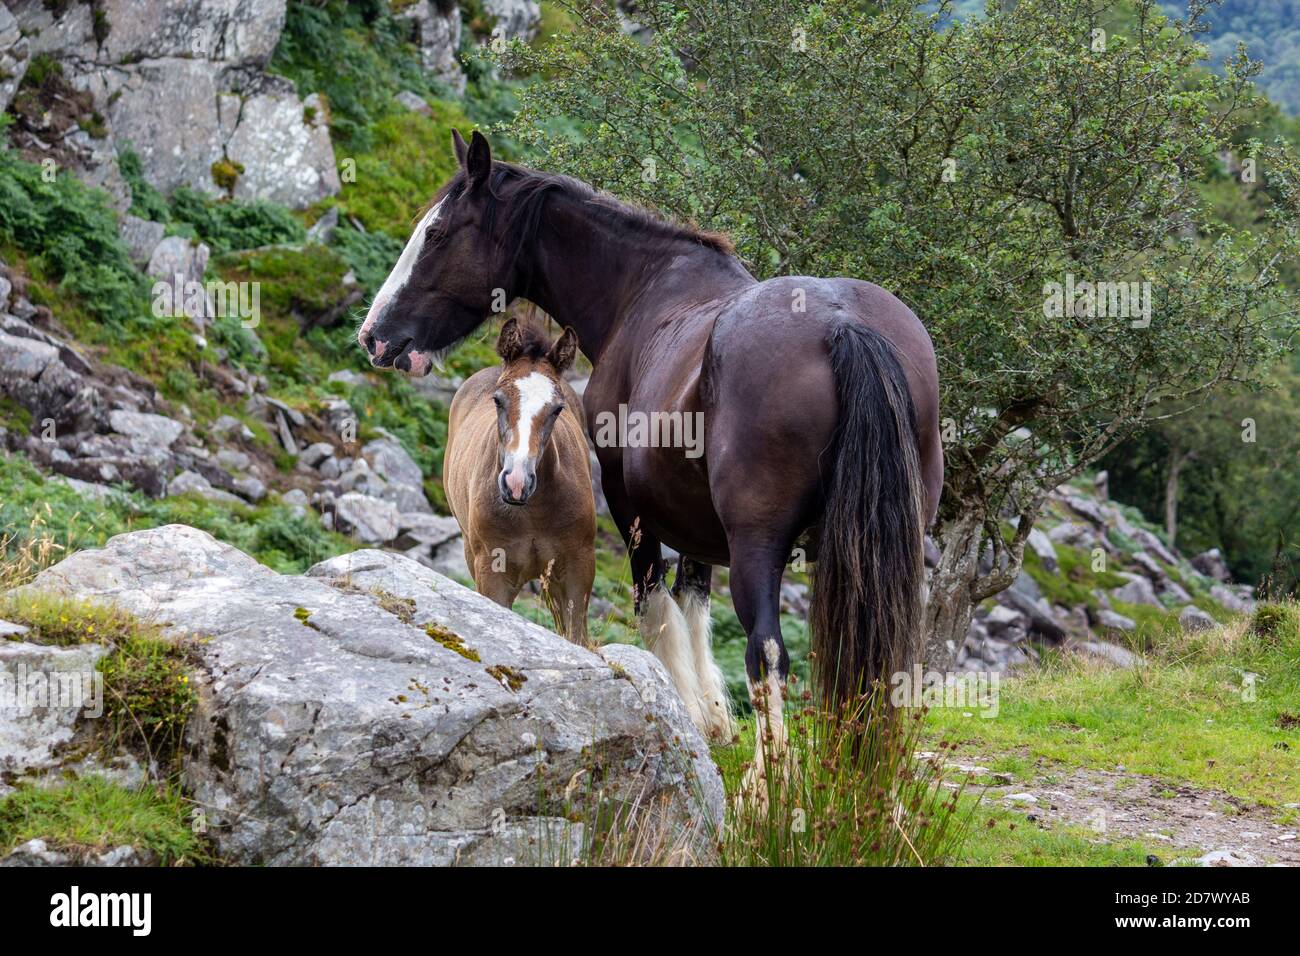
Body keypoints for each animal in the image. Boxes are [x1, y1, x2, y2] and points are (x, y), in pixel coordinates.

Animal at [441, 319, 595, 642]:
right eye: (498, 400)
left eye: (557, 408)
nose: (516, 483)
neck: (532, 514)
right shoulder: (492, 572)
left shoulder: (578, 567)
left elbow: (576, 637)